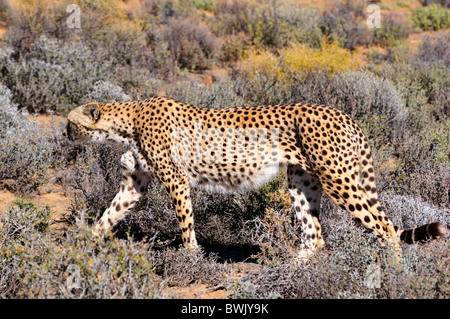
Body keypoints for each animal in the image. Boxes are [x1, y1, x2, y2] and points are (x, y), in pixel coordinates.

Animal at [66, 98, 446, 262]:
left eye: (71, 122)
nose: (64, 134)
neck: (125, 122)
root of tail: (342, 112)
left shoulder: (176, 181)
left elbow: (185, 223)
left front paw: (191, 256)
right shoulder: (135, 183)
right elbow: (110, 214)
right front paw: (84, 242)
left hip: (339, 179)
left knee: (385, 228)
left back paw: (392, 272)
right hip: (302, 182)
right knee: (316, 235)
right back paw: (294, 268)